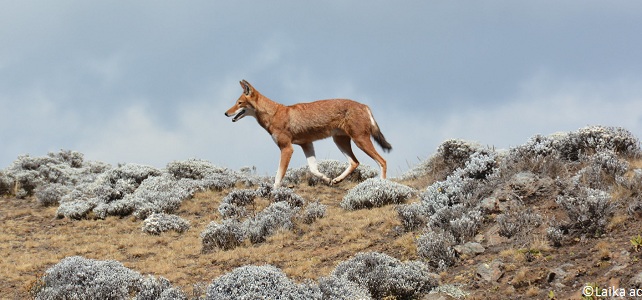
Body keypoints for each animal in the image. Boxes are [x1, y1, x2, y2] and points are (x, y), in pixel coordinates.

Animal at [225, 79, 390, 188]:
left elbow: (278, 176)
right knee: (355, 162)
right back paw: (337, 180)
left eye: (239, 103)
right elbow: (313, 169)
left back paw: (382, 185)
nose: (226, 113)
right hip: (340, 141)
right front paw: (326, 179)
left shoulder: (287, 148)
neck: (273, 114)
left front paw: (274, 192)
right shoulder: (306, 144)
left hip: (359, 141)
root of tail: (364, 105)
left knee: (382, 161)